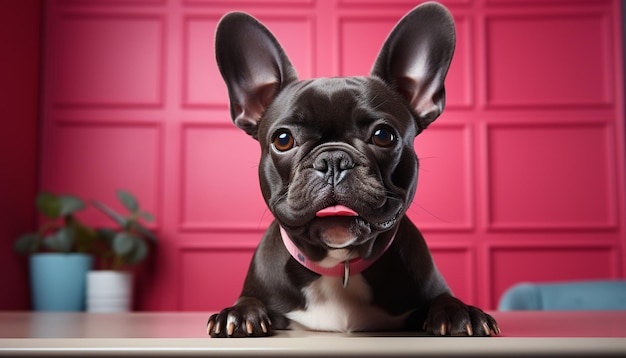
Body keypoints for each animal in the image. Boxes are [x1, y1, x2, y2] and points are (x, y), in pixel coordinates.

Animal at [207, 2, 500, 338]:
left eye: (384, 135)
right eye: (283, 140)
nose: (333, 160)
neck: (339, 265)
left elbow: (442, 298)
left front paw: (459, 311)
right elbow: (249, 300)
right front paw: (239, 313)